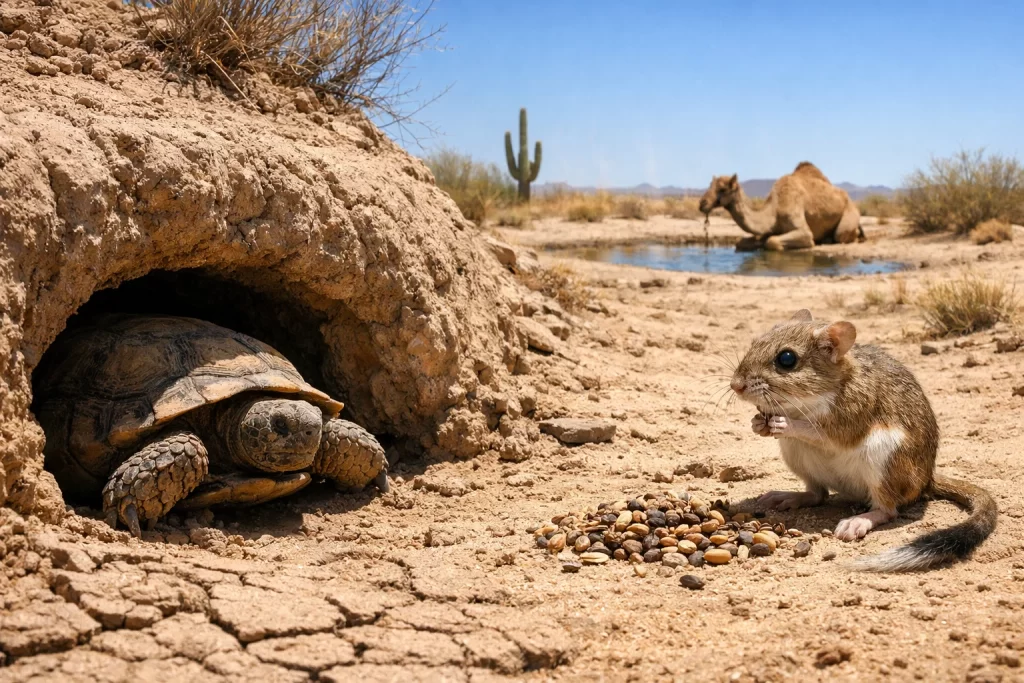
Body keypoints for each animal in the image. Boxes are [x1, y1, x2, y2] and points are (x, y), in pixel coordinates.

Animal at [699, 162, 863, 251]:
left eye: (722, 189)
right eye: (710, 185)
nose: (702, 203)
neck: (774, 209)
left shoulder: (802, 229)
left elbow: (772, 241)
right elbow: (741, 242)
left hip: (850, 213)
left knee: (841, 234)